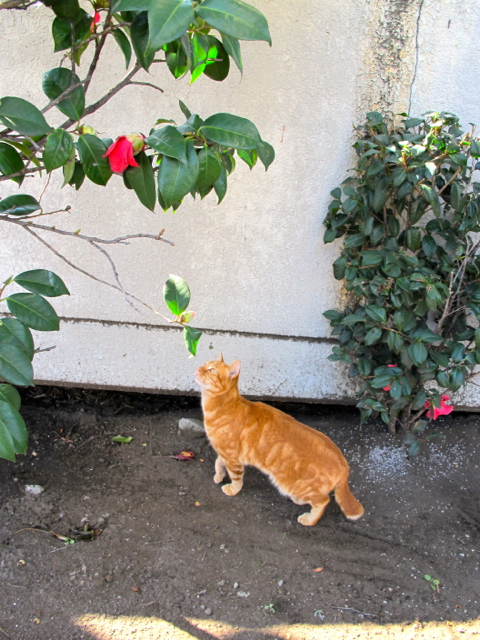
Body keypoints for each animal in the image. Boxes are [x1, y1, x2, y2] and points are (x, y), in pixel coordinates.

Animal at [195, 354, 364, 526]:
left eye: (212, 370)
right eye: (205, 364)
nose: (198, 369)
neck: (220, 406)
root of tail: (343, 462)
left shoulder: (232, 457)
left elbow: (236, 478)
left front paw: (232, 489)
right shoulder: (225, 453)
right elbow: (218, 463)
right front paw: (219, 475)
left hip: (294, 485)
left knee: (323, 501)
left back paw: (309, 519)